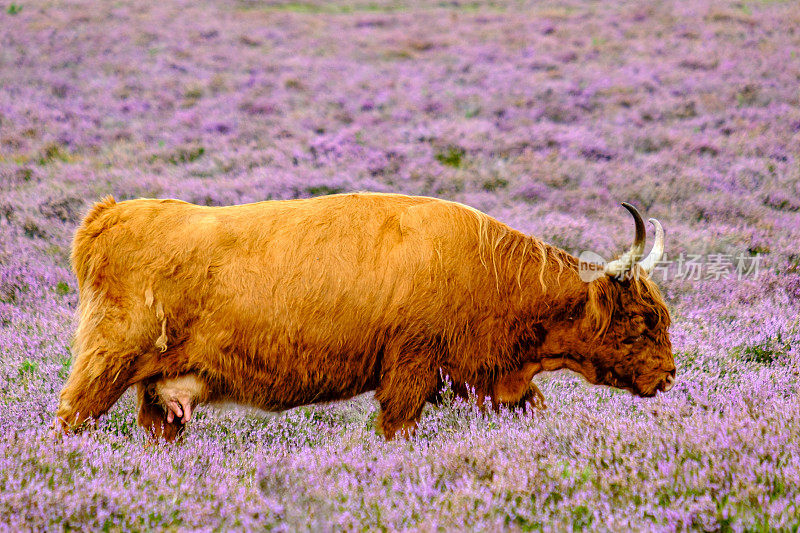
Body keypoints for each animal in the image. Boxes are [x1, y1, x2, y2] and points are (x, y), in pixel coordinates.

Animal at [54, 193, 676, 438]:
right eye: (644, 319)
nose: (669, 376)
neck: (487, 268)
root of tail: (110, 215)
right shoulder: (410, 372)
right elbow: (397, 427)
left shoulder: (489, 380)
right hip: (104, 368)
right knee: (70, 417)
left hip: (161, 396)